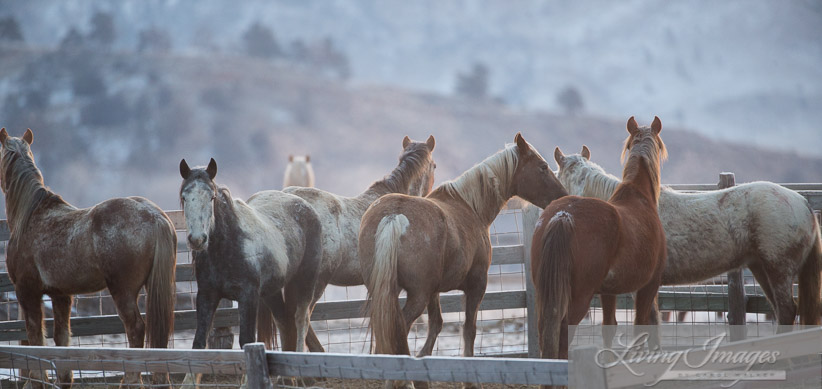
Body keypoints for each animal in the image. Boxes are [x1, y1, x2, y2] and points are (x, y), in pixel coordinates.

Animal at [0, 128, 175, 388]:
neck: (31, 217)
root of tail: (155, 216)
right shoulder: (60, 295)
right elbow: (61, 338)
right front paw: (63, 379)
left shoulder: (27, 291)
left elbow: (35, 337)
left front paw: (36, 381)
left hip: (123, 291)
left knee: (135, 329)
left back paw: (130, 381)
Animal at [179, 159, 324, 368]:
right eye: (184, 196)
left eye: (211, 197)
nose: (197, 239)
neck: (227, 247)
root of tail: (305, 206)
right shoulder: (207, 295)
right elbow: (198, 342)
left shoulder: (248, 296)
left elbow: (246, 341)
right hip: (272, 292)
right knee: (284, 323)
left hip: (305, 281)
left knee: (301, 320)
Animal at [536, 116, 668, 360]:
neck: (639, 196)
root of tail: (563, 215)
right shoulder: (649, 284)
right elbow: (640, 326)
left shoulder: (608, 291)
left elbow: (609, 327)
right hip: (579, 297)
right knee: (563, 333)